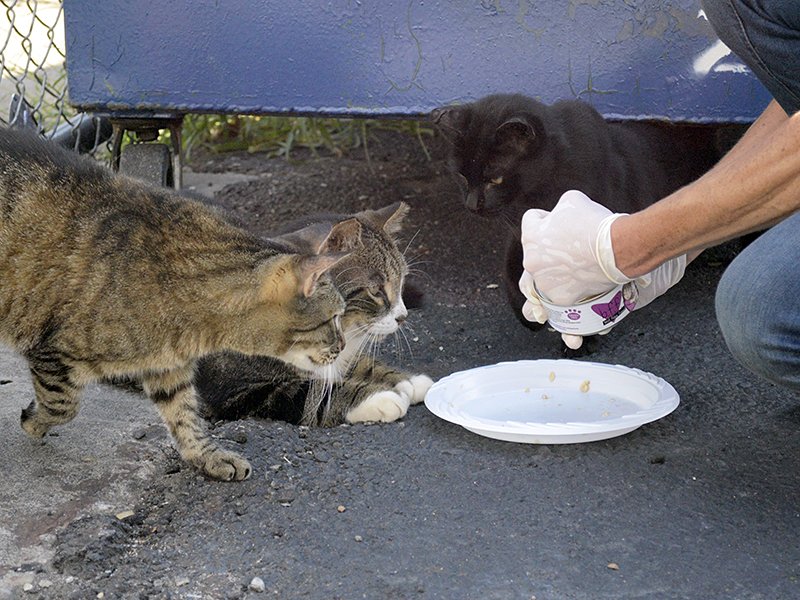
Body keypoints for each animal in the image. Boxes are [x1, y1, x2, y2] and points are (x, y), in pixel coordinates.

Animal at [195, 204, 434, 428]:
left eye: (401, 282)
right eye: (376, 290)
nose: (402, 316)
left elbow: (357, 362)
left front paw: (405, 380)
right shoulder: (244, 391)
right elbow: (315, 395)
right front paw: (379, 397)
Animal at [432, 92, 720, 328]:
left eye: (495, 179)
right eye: (462, 176)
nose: (472, 204)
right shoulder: (521, 236)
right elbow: (512, 270)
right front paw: (528, 314)